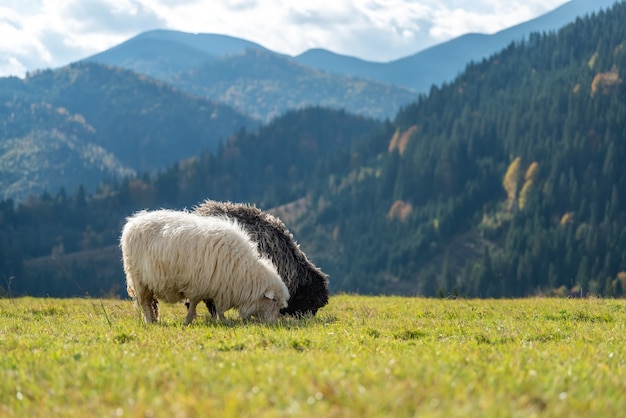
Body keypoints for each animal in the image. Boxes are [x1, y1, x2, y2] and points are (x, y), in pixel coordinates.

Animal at [119, 208, 288, 324]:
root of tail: (132, 222)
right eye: (273, 301)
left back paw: (154, 320)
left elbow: (218, 307)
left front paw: (222, 320)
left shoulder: (220, 287)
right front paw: (188, 321)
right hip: (139, 280)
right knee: (145, 303)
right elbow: (195, 304)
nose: (274, 323)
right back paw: (150, 321)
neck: (243, 272)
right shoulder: (199, 285)